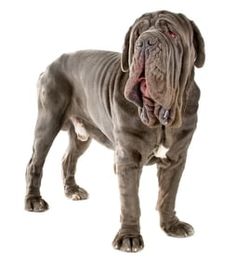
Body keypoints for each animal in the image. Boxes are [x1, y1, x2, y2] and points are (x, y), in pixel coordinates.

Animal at [24, 10, 205, 252]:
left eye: (172, 33)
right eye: (137, 33)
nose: (145, 42)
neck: (159, 118)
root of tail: (50, 65)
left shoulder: (176, 159)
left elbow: (168, 194)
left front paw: (171, 225)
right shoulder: (127, 159)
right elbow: (130, 201)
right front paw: (129, 237)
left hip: (82, 134)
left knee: (68, 158)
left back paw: (72, 190)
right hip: (47, 122)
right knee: (35, 162)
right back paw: (33, 201)